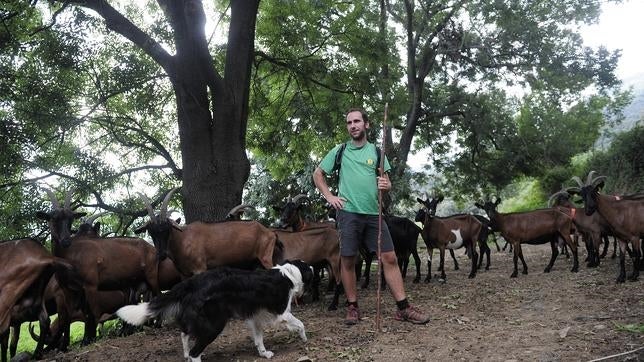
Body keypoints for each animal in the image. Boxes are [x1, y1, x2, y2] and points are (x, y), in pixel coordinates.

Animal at [117, 262, 314, 360]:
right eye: (312, 270)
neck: (290, 272)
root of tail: (192, 282)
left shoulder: (255, 318)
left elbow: (259, 339)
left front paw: (263, 353)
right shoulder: (281, 313)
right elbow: (300, 323)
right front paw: (304, 338)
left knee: (184, 335)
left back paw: (186, 354)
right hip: (214, 324)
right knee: (195, 349)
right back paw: (195, 356)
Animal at [135, 188, 278, 276]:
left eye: (167, 229)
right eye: (151, 232)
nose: (161, 254)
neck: (182, 239)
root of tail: (269, 232)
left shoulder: (200, 268)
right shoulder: (184, 274)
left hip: (265, 257)